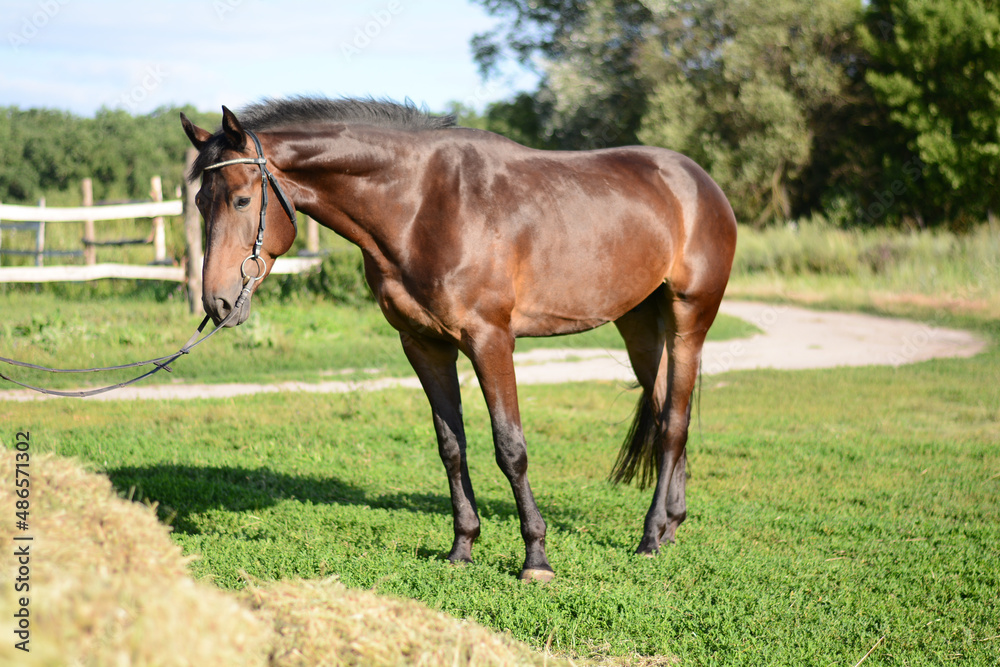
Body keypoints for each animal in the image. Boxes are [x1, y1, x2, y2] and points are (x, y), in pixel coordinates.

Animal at [180, 96, 740, 580]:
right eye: (200, 202)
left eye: (242, 199)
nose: (218, 304)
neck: (423, 204)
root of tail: (698, 180)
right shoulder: (424, 345)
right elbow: (451, 445)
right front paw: (462, 547)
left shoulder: (490, 340)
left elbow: (510, 447)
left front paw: (536, 558)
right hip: (639, 324)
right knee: (667, 411)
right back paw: (669, 527)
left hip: (689, 318)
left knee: (674, 424)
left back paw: (649, 537)